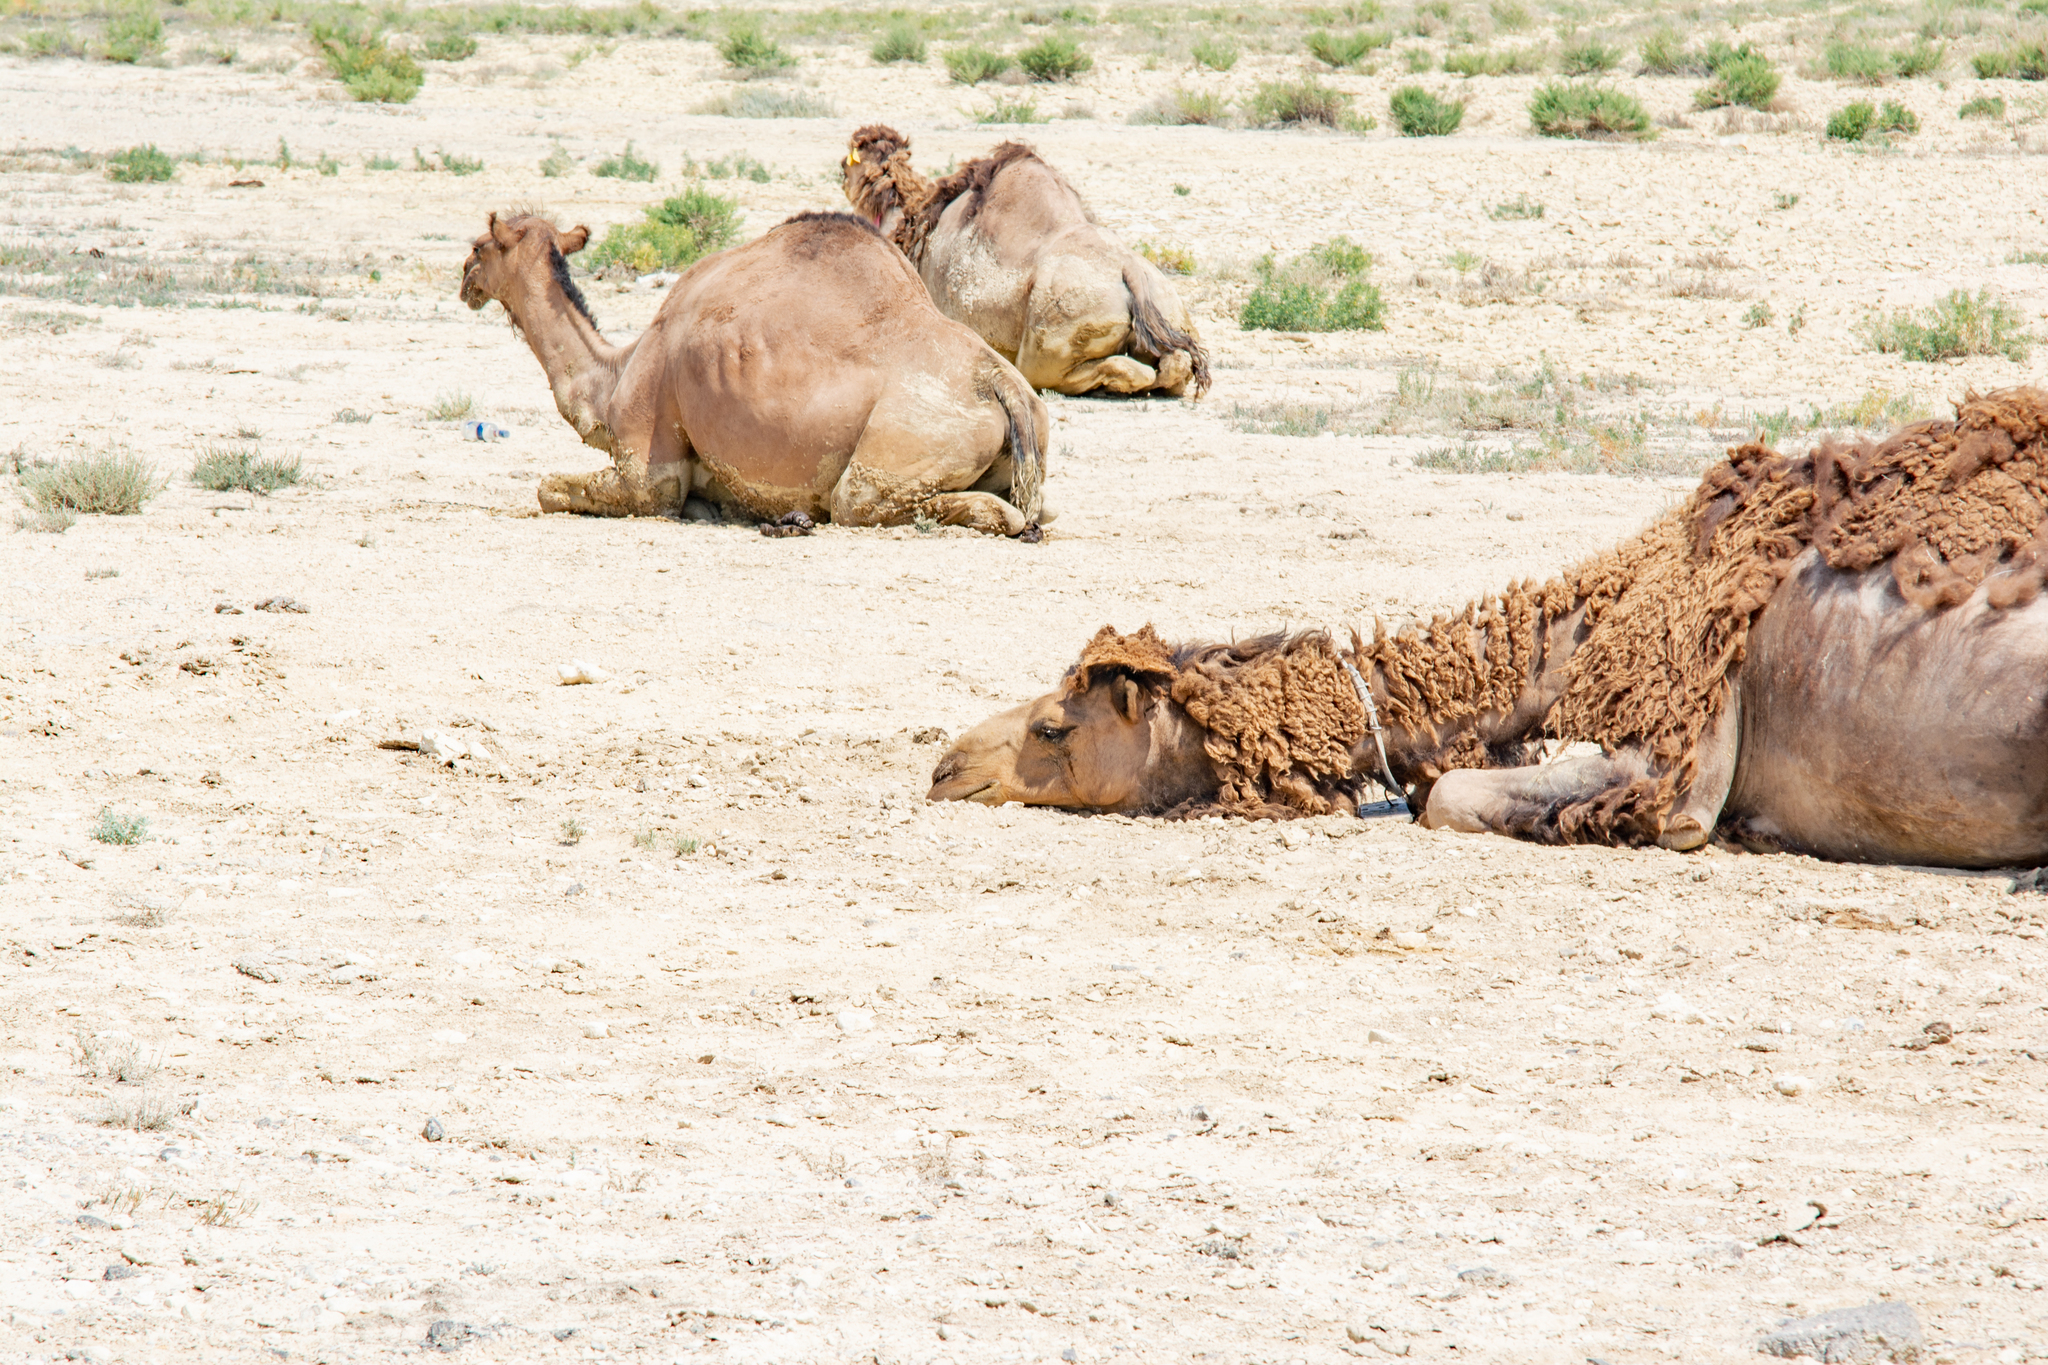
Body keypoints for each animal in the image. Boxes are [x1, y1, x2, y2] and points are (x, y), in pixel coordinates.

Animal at [454, 210, 1048, 536]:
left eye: (479, 246)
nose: (464, 280)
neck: (615, 375)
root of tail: (1002, 383)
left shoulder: (648, 472)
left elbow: (548, 489)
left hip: (900, 447)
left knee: (866, 501)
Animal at [839, 123, 1204, 403]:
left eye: (848, 163)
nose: (841, 168)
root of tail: (1132, 275)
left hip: (1052, 341)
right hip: (1169, 311)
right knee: (1174, 364)